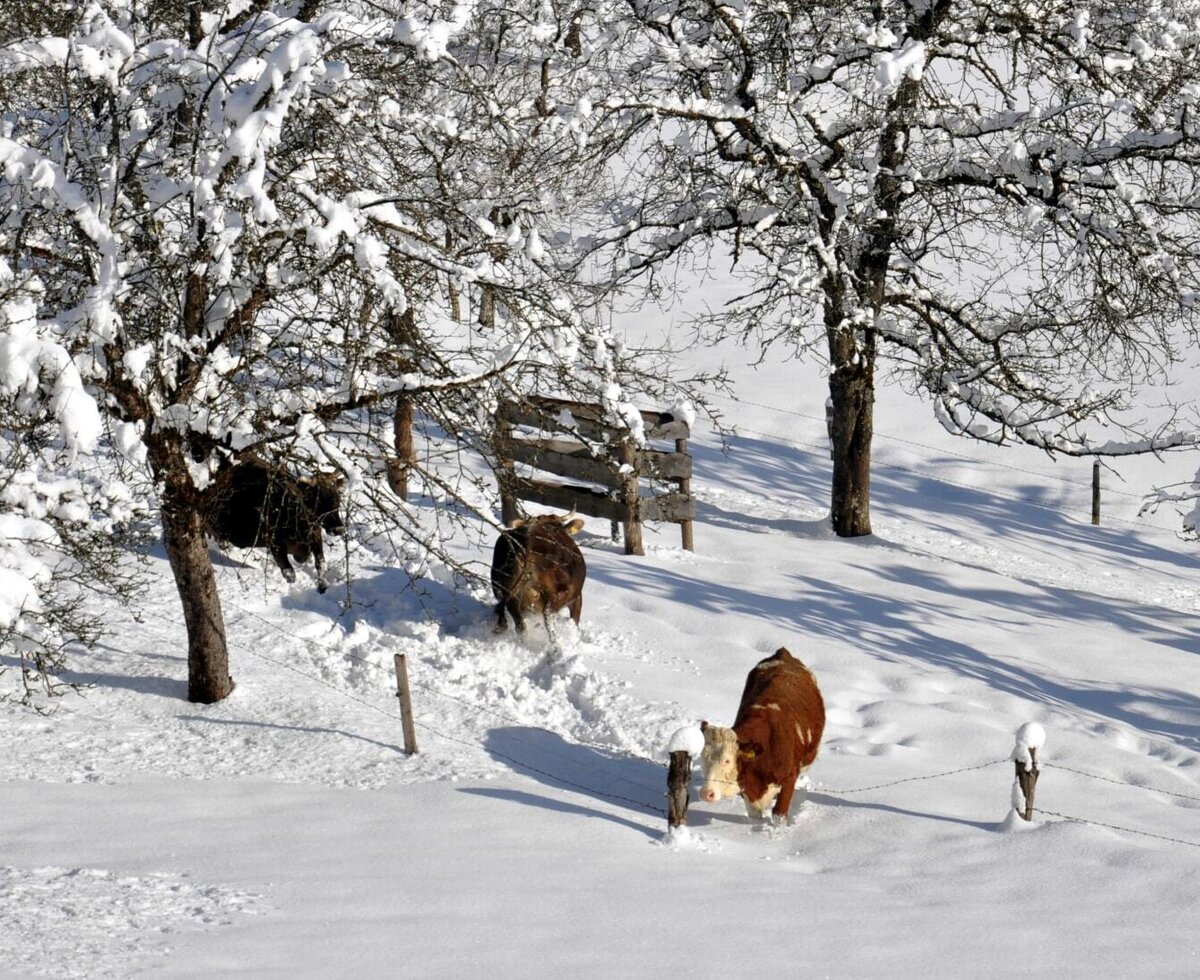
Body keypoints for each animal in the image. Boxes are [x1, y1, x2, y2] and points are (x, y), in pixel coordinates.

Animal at [202, 458, 345, 593]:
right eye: (319, 499)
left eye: (338, 499)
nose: (339, 529)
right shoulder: (275, 543)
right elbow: (289, 574)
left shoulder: (316, 538)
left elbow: (321, 564)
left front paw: (323, 587)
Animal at [698, 647, 825, 824]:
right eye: (702, 757)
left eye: (727, 760)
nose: (706, 793)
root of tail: (782, 653)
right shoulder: (748, 790)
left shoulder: (789, 777)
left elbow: (779, 815)